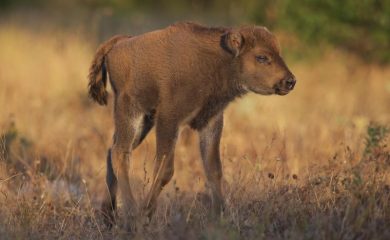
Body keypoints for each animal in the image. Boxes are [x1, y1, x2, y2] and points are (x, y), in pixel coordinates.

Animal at [88, 21, 296, 229]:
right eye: (262, 57)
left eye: (279, 52)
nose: (290, 81)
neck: (219, 59)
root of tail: (119, 43)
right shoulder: (169, 119)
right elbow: (165, 170)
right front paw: (145, 215)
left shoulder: (211, 122)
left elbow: (213, 169)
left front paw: (221, 216)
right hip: (130, 111)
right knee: (120, 154)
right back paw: (131, 213)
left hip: (143, 122)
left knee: (112, 151)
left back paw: (109, 216)